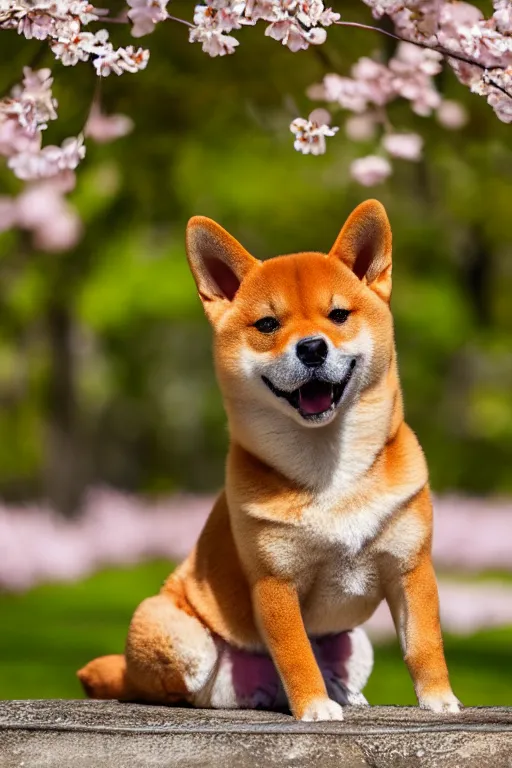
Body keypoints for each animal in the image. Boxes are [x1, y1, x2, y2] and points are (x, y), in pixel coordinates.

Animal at [79, 198, 460, 720]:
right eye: (267, 325)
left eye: (337, 315)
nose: (312, 346)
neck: (328, 469)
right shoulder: (274, 583)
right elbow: (295, 652)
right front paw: (314, 707)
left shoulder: (411, 568)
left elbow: (425, 642)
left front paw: (438, 697)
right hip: (182, 637)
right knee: (195, 689)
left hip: (357, 641)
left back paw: (339, 689)